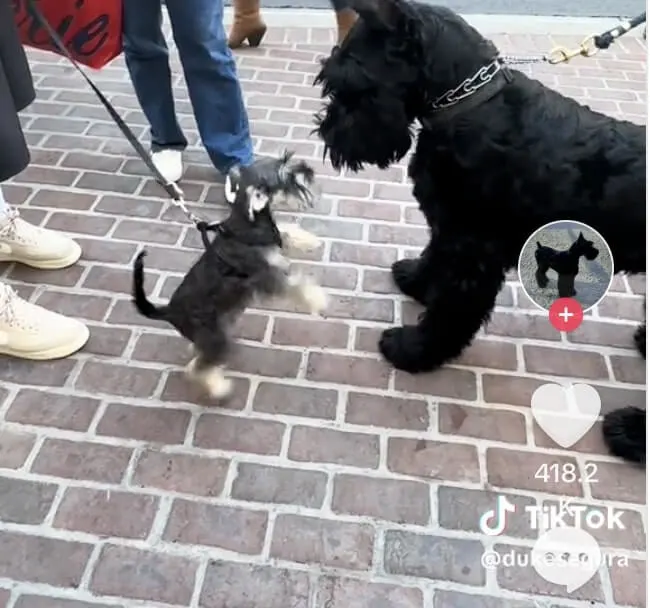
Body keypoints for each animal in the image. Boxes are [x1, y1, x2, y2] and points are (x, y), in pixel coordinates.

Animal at [132, 153, 326, 400]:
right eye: (283, 175)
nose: (308, 170)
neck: (246, 225)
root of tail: (168, 311)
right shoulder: (265, 277)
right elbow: (296, 285)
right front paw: (318, 299)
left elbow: (287, 231)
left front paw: (310, 240)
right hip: (216, 339)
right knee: (198, 368)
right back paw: (218, 388)